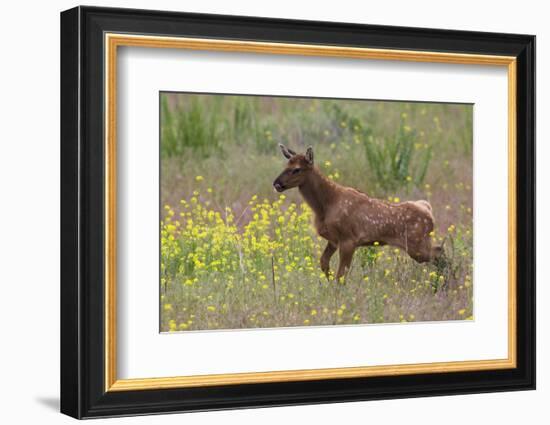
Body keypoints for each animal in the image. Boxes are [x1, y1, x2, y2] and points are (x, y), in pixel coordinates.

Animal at [274, 145, 446, 282]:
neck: (326, 205)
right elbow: (324, 263)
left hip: (416, 244)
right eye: (286, 165)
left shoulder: (348, 239)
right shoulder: (334, 240)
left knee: (439, 252)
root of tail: (427, 209)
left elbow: (341, 276)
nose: (276, 183)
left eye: (297, 169)